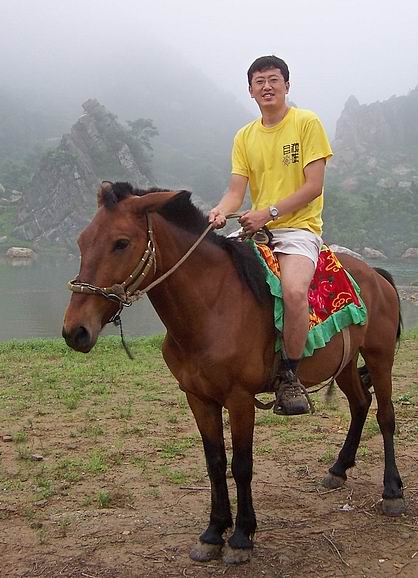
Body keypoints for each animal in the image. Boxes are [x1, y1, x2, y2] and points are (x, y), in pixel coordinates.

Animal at [62, 182, 405, 564]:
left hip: (379, 358)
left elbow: (241, 465)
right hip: (344, 365)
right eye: (81, 241)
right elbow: (215, 462)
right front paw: (213, 533)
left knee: (385, 415)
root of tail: (377, 275)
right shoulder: (198, 398)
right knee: (360, 405)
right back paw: (338, 469)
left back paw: (392, 491)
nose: (75, 331)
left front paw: (241, 536)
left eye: (121, 243)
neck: (212, 307)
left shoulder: (239, 399)